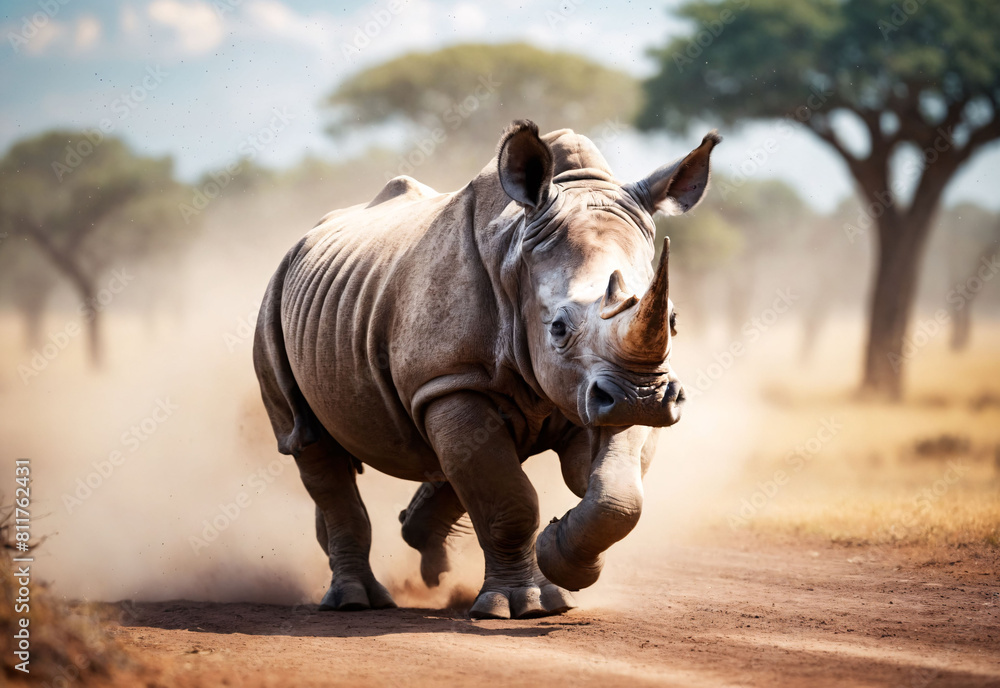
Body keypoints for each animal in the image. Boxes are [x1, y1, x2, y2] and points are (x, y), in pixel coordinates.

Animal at [254, 120, 720, 619]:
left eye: (673, 320)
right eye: (557, 327)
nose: (644, 397)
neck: (515, 252)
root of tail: (308, 236)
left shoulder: (610, 383)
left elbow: (613, 492)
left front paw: (560, 558)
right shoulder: (451, 380)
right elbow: (509, 501)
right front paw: (527, 603)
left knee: (448, 457)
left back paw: (423, 550)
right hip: (275, 297)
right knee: (309, 441)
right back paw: (356, 602)